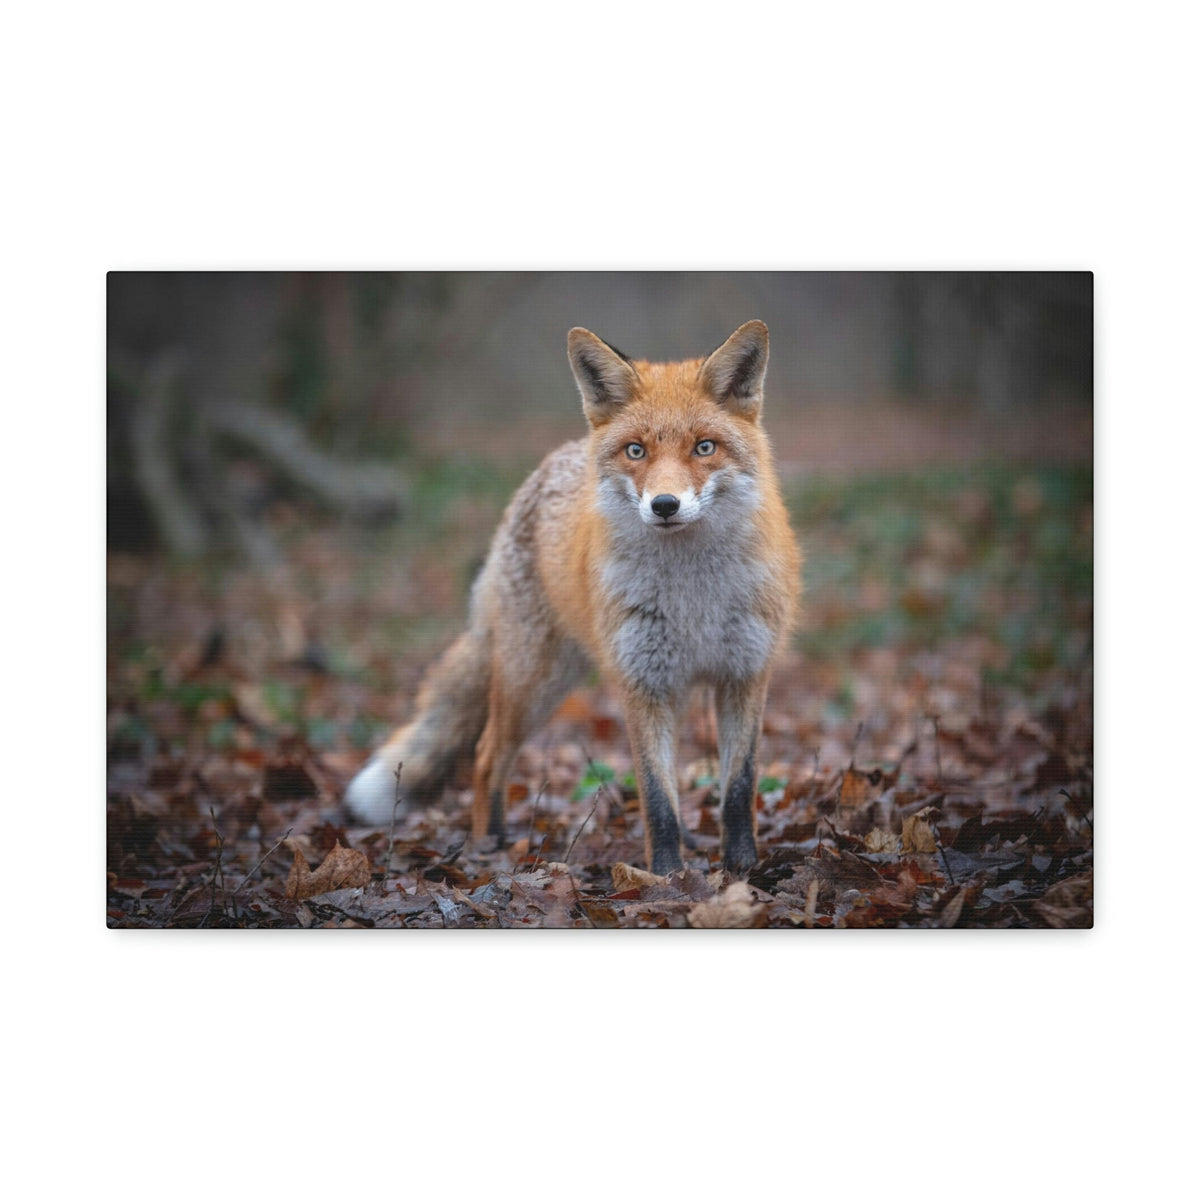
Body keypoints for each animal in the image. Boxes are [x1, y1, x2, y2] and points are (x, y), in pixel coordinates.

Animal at [344, 320, 801, 874]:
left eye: (704, 447)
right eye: (636, 451)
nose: (664, 505)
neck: (693, 598)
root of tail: (552, 461)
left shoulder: (744, 675)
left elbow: (737, 789)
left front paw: (743, 870)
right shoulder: (641, 683)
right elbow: (656, 799)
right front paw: (667, 876)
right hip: (534, 683)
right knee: (486, 755)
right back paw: (489, 845)